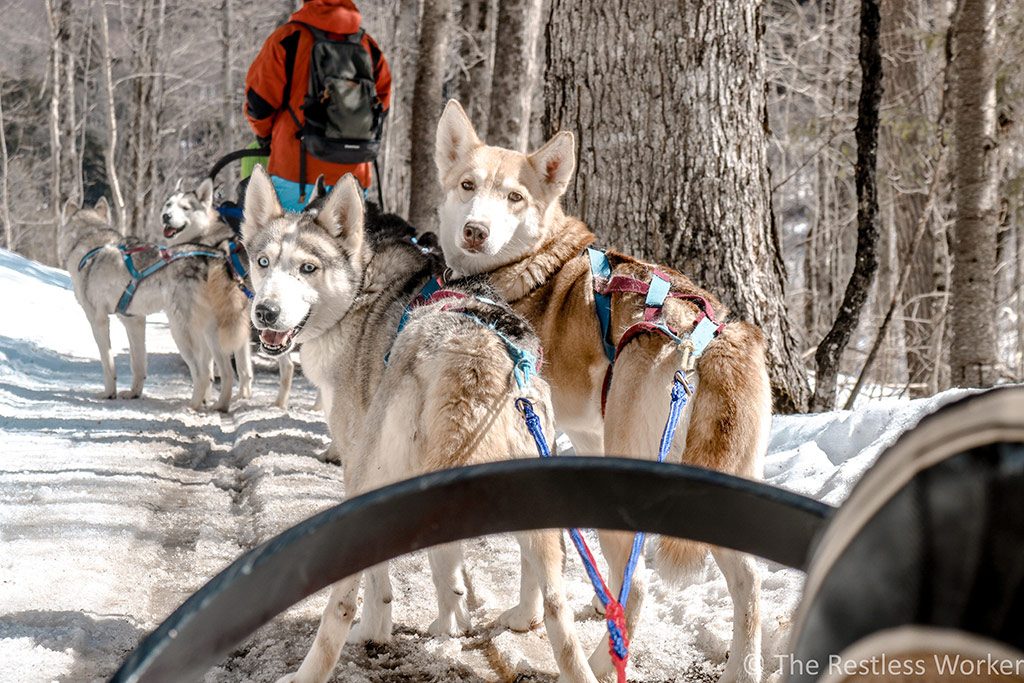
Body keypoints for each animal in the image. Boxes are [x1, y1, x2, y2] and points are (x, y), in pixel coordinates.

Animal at [58, 198, 220, 411]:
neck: (92, 243)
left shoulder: (98, 321)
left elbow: (108, 364)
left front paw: (108, 394)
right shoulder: (134, 320)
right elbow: (138, 364)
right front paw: (134, 393)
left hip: (181, 333)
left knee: (202, 373)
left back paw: (191, 406)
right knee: (209, 371)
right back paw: (205, 401)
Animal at [160, 179, 296, 409]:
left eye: (185, 207)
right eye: (168, 204)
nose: (166, 216)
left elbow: (212, 369)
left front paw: (207, 397)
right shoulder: (243, 328)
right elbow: (244, 368)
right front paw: (243, 397)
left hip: (210, 329)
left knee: (223, 371)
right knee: (289, 365)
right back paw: (284, 404)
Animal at [241, 165, 598, 683]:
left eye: (308, 268)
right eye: (263, 262)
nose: (265, 312)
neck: (365, 285)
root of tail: (472, 357)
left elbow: (382, 583)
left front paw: (379, 628)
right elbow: (446, 565)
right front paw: (451, 620)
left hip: (367, 482)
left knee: (342, 604)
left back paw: (319, 663)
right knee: (554, 605)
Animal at [430, 101, 770, 683]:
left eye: (514, 197)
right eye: (467, 185)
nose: (476, 231)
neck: (527, 267)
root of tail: (710, 336)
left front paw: (524, 617)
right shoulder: (587, 437)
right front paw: (588, 600)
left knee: (642, 583)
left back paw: (600, 659)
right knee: (747, 581)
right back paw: (743, 669)